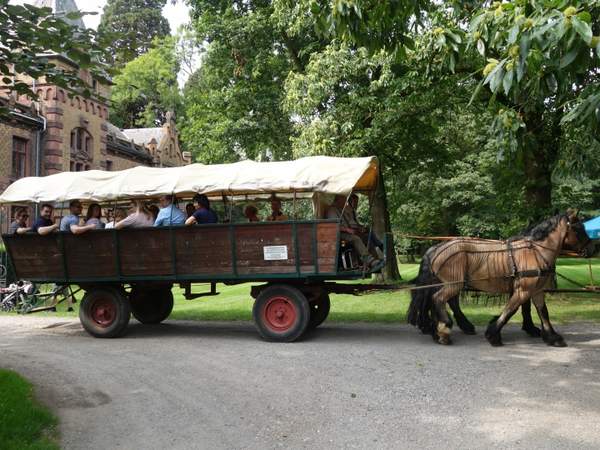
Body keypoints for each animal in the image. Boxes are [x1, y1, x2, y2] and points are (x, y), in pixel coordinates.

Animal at [408, 213, 596, 346]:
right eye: (579, 229)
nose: (593, 249)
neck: (534, 251)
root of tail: (437, 248)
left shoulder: (536, 290)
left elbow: (543, 312)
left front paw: (552, 337)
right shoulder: (523, 290)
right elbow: (510, 310)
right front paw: (493, 335)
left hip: (450, 284)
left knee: (441, 300)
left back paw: (440, 329)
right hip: (453, 284)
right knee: (438, 298)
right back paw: (444, 329)